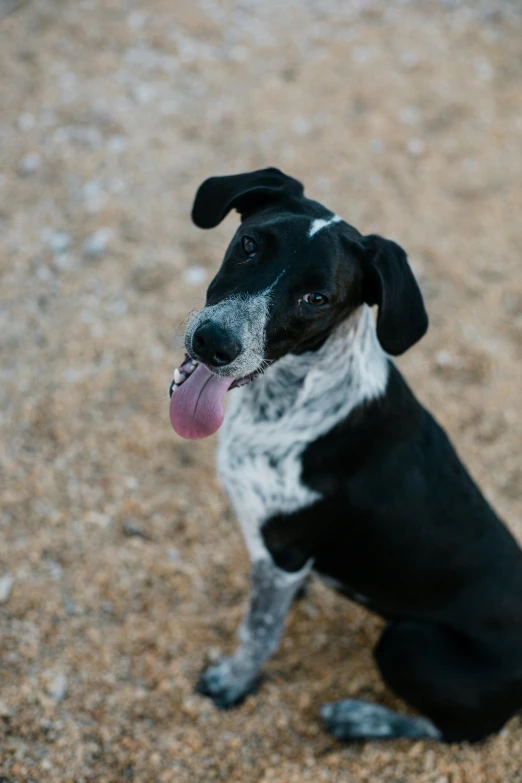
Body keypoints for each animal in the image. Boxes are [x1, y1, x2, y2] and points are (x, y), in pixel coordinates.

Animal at [168, 168, 520, 744]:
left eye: (316, 297)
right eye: (249, 244)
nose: (212, 342)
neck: (293, 399)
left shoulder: (284, 553)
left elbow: (257, 633)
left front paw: (232, 682)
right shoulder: (279, 561)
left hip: (408, 642)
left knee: (459, 731)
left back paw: (359, 717)